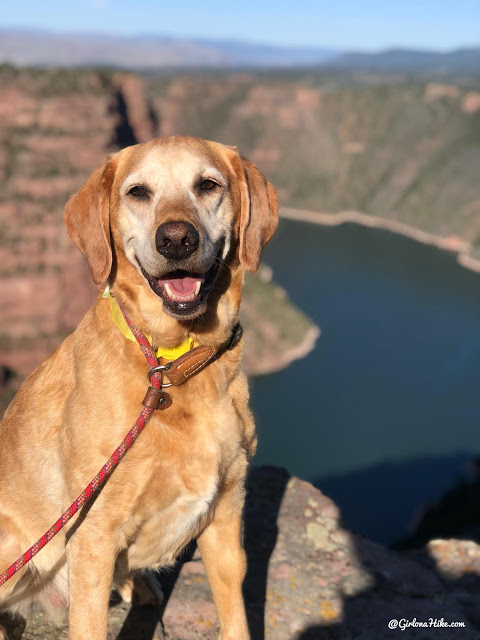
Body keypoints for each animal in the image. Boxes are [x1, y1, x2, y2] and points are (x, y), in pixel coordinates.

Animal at [0, 136, 278, 640]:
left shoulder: (227, 516)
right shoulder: (94, 537)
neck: (171, 365)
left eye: (208, 185)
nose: (176, 239)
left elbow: (235, 616)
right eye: (138, 193)